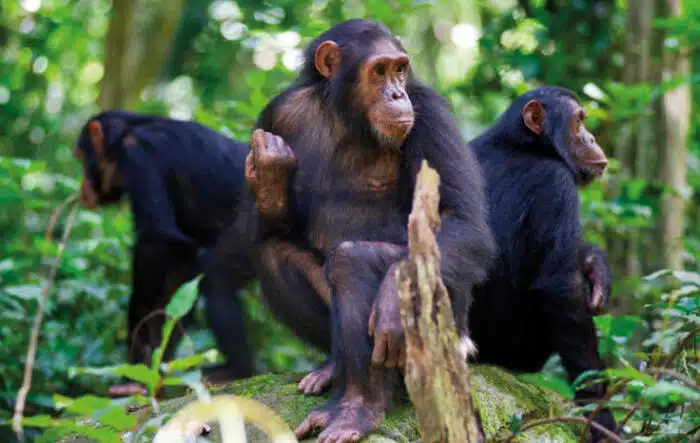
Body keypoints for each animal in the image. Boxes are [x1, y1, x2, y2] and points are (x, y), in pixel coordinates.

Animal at [73, 109, 258, 398]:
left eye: (81, 157)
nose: (82, 186)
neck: (125, 135)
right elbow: (181, 273)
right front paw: (152, 370)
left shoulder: (138, 157)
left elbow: (159, 241)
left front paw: (137, 364)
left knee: (216, 278)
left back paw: (237, 369)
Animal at [468, 86, 616, 440]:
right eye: (578, 122)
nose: (591, 137)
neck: (522, 144)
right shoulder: (556, 185)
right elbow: (561, 288)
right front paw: (600, 416)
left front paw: (596, 265)